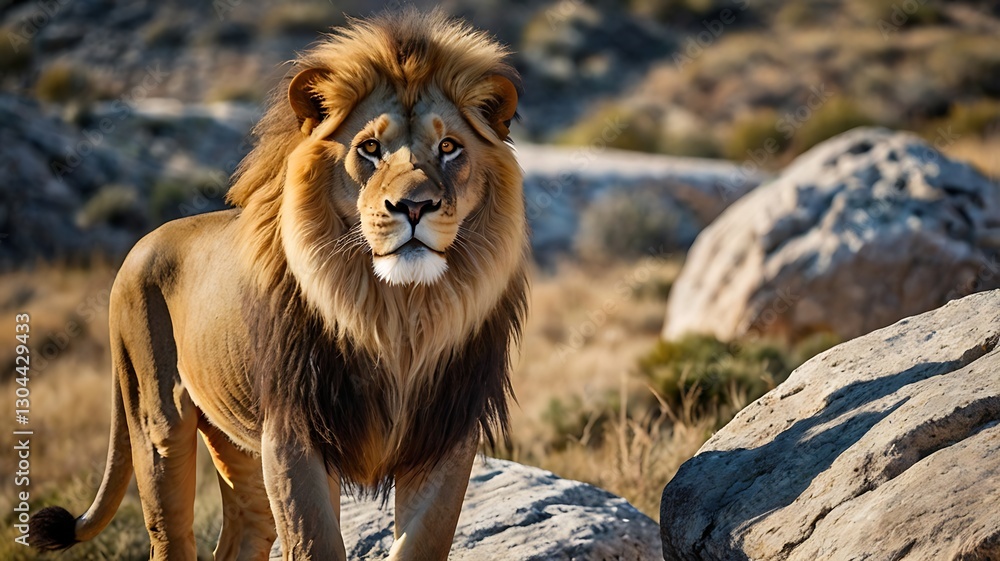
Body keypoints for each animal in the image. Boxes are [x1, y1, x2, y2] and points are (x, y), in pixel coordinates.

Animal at [29, 10, 527, 561]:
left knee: (241, 537)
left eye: (449, 147)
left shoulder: (445, 436)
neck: (395, 313)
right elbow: (315, 544)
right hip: (158, 421)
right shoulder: (294, 433)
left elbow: (422, 542)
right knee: (171, 531)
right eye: (370, 148)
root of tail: (141, 244)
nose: (414, 206)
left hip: (237, 443)